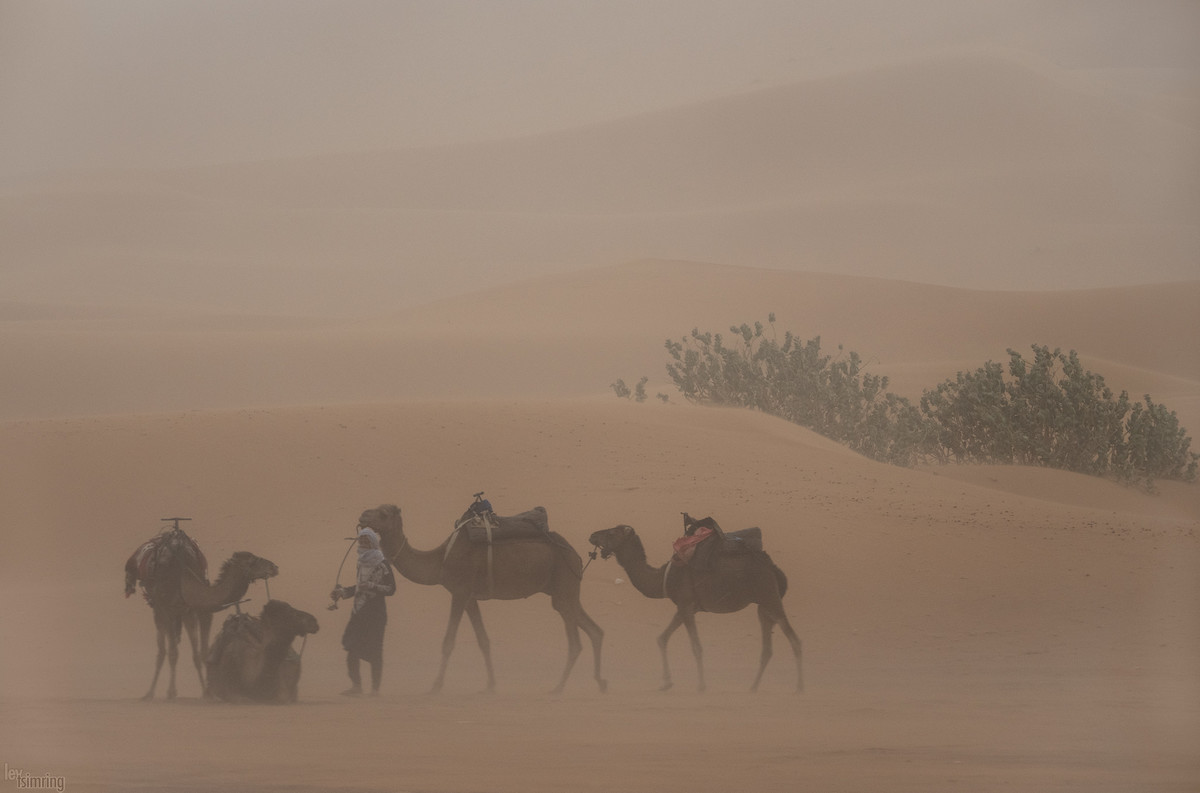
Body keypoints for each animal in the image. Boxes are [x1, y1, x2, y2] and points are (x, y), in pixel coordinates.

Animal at [137, 549, 277, 700]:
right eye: (252, 561)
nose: (274, 567)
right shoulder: (167, 610)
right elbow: (173, 653)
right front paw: (171, 693)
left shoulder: (200, 612)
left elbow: (203, 653)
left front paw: (208, 693)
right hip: (159, 612)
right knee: (163, 649)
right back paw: (150, 693)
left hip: (184, 616)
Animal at [350, 501, 604, 691]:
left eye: (383, 513)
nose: (362, 515)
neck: (441, 561)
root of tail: (577, 555)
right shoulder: (470, 597)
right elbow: (483, 640)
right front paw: (490, 685)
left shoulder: (460, 591)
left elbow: (448, 641)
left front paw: (435, 685)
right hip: (565, 592)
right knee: (594, 630)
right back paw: (600, 682)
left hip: (564, 587)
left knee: (575, 642)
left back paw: (559, 687)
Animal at [585, 525, 801, 691]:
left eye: (612, 532)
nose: (592, 535)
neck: (663, 577)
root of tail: (773, 568)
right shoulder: (684, 607)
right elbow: (662, 638)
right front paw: (666, 683)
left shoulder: (686, 605)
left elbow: (696, 647)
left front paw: (701, 685)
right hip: (763, 605)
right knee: (767, 648)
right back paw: (753, 687)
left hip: (769, 596)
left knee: (794, 639)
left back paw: (800, 688)